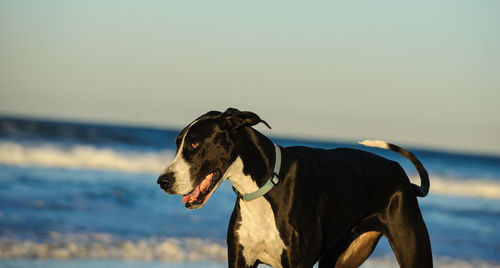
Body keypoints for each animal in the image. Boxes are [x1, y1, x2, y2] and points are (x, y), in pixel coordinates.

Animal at [158, 108, 432, 266]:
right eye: (177, 143)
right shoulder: (240, 259)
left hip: (414, 252)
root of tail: (403, 177)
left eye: (194, 144)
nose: (163, 181)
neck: (265, 187)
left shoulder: (298, 263)